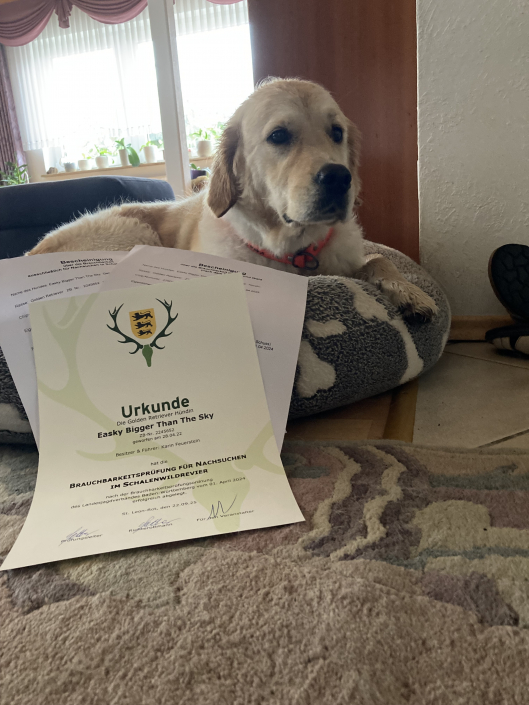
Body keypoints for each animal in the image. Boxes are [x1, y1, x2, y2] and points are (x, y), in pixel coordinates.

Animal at [29, 78, 437, 320]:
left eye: (336, 132)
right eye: (279, 135)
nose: (339, 178)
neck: (293, 251)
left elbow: (380, 259)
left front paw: (409, 291)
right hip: (132, 231)